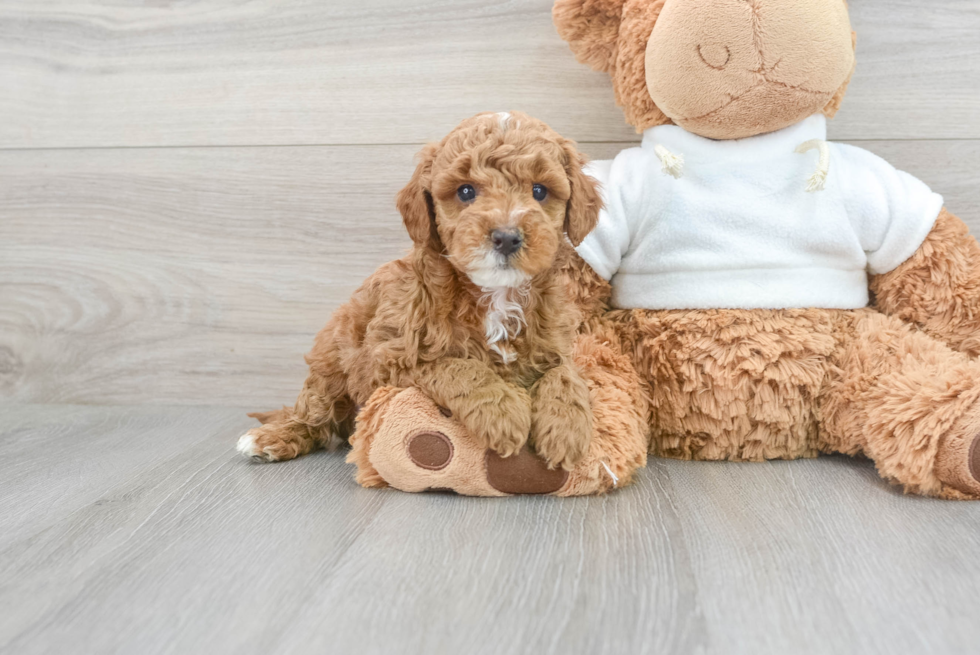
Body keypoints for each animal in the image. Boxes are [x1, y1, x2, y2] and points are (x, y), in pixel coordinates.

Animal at [239, 113, 604, 472]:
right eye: (466, 191)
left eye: (539, 191)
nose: (506, 237)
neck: (497, 294)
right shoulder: (386, 361)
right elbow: (456, 367)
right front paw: (503, 413)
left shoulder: (555, 342)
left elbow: (565, 373)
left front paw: (566, 428)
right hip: (331, 359)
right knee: (315, 412)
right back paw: (271, 437)